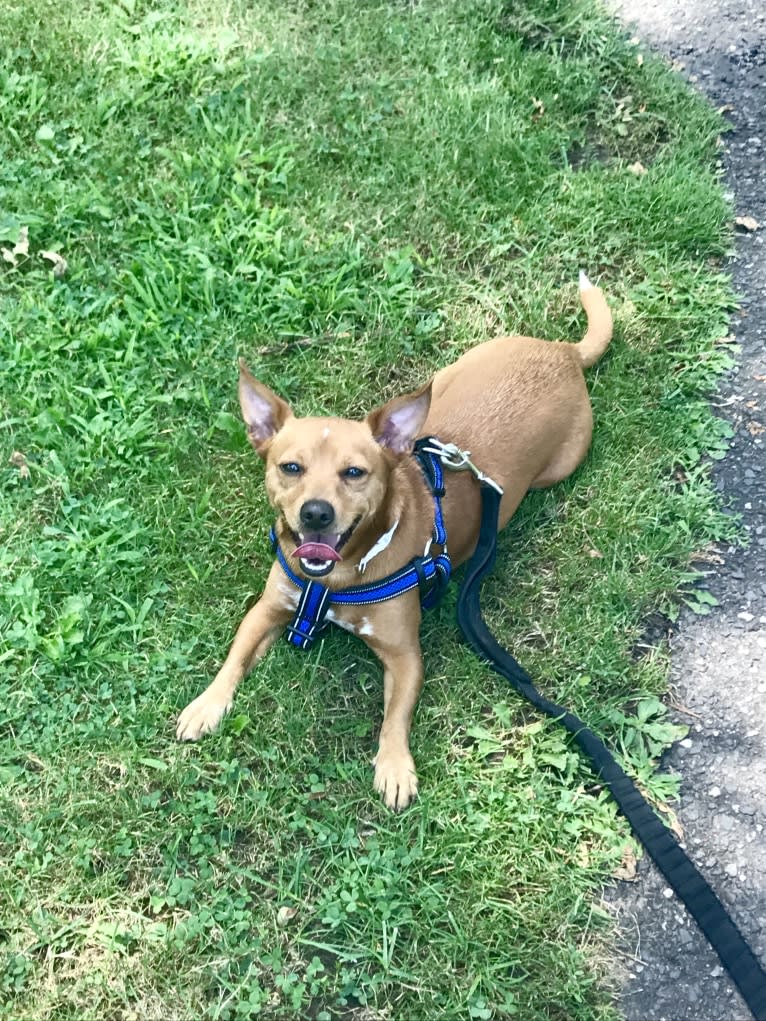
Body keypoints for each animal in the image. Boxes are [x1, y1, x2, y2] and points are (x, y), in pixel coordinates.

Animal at [176, 275, 616, 808]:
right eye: (291, 467)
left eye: (355, 473)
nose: (316, 512)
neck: (340, 576)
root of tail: (562, 352)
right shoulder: (265, 611)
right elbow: (234, 659)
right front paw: (207, 705)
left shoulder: (406, 656)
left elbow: (395, 718)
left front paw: (394, 766)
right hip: (449, 373)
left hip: (560, 466)